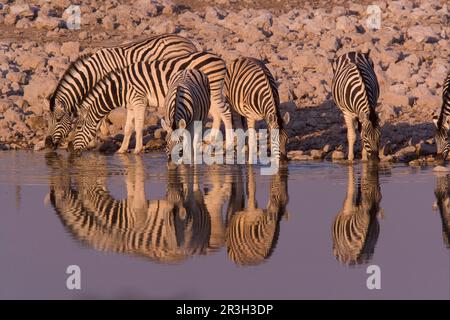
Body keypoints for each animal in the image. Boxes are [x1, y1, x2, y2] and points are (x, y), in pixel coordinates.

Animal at [44, 33, 198, 151]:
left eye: (58, 120)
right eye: (48, 121)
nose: (48, 144)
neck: (93, 73)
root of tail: (188, 41)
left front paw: (98, 136)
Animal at [67, 52, 229, 156]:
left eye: (79, 127)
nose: (72, 150)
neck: (120, 88)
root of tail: (219, 58)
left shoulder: (139, 101)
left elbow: (138, 126)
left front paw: (138, 149)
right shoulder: (131, 105)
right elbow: (128, 128)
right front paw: (122, 150)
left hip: (214, 91)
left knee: (225, 112)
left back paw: (228, 144)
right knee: (217, 115)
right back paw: (210, 140)